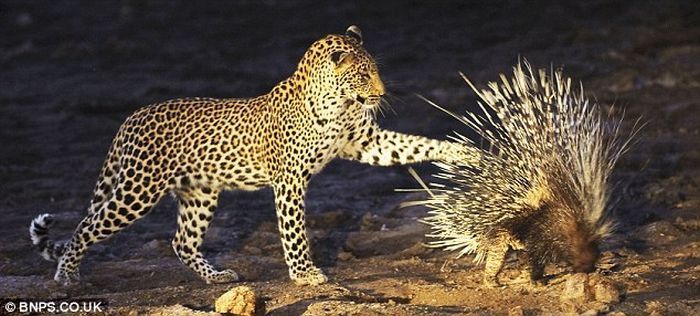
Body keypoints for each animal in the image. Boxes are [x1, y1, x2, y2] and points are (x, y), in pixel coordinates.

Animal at [26, 25, 476, 286]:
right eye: (363, 74)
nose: (381, 93)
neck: (336, 102)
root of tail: (131, 118)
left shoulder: (366, 142)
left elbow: (416, 145)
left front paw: (463, 153)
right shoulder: (291, 180)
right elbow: (294, 231)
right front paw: (304, 275)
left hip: (200, 194)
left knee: (181, 242)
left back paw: (217, 277)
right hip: (138, 191)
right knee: (86, 225)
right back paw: (67, 275)